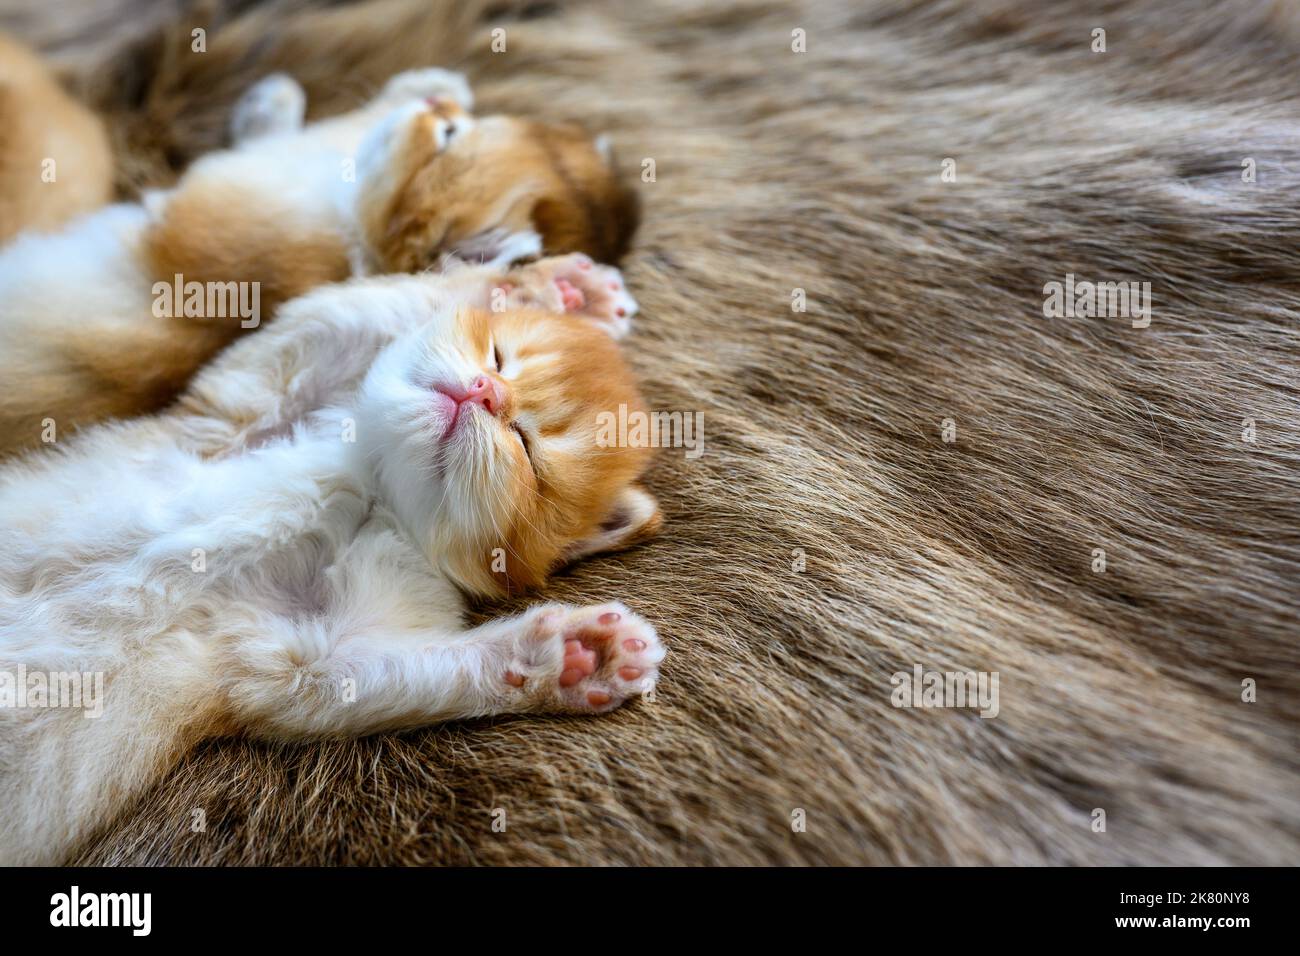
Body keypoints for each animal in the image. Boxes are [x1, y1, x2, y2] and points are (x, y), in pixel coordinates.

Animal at [0, 254, 665, 868]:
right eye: (498, 357)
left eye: (528, 452)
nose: (486, 390)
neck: (372, 480)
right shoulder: (244, 410)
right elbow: (357, 311)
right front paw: (560, 291)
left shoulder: (299, 661)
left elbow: (406, 671)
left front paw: (571, 657)